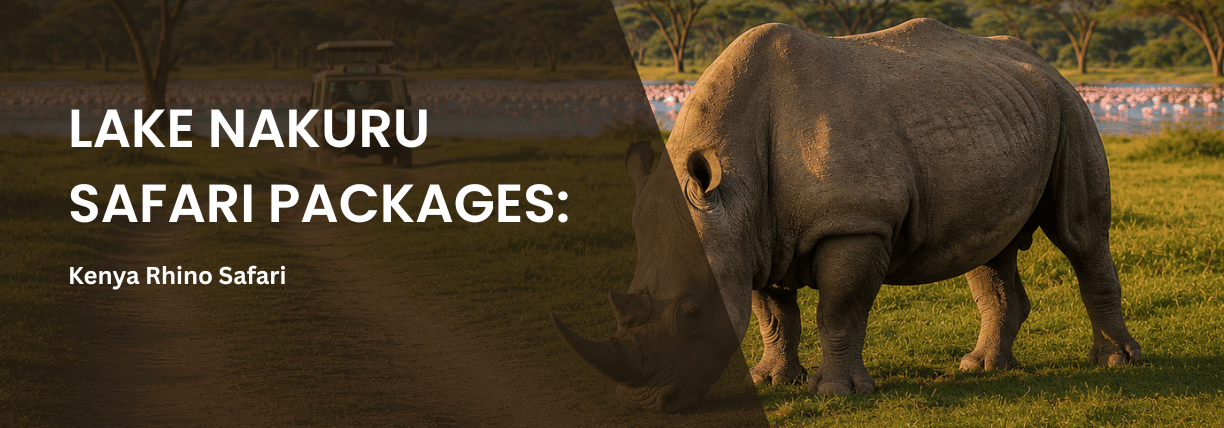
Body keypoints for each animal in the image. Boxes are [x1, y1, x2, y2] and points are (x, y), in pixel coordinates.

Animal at [551, 19, 1142, 413]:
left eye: (693, 313)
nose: (649, 404)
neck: (733, 189)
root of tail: (1044, 62)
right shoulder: (752, 233)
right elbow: (772, 315)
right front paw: (772, 383)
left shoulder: (855, 224)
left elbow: (838, 310)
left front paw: (836, 393)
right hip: (1003, 111)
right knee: (988, 249)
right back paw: (982, 368)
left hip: (1070, 108)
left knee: (1081, 235)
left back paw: (1116, 363)